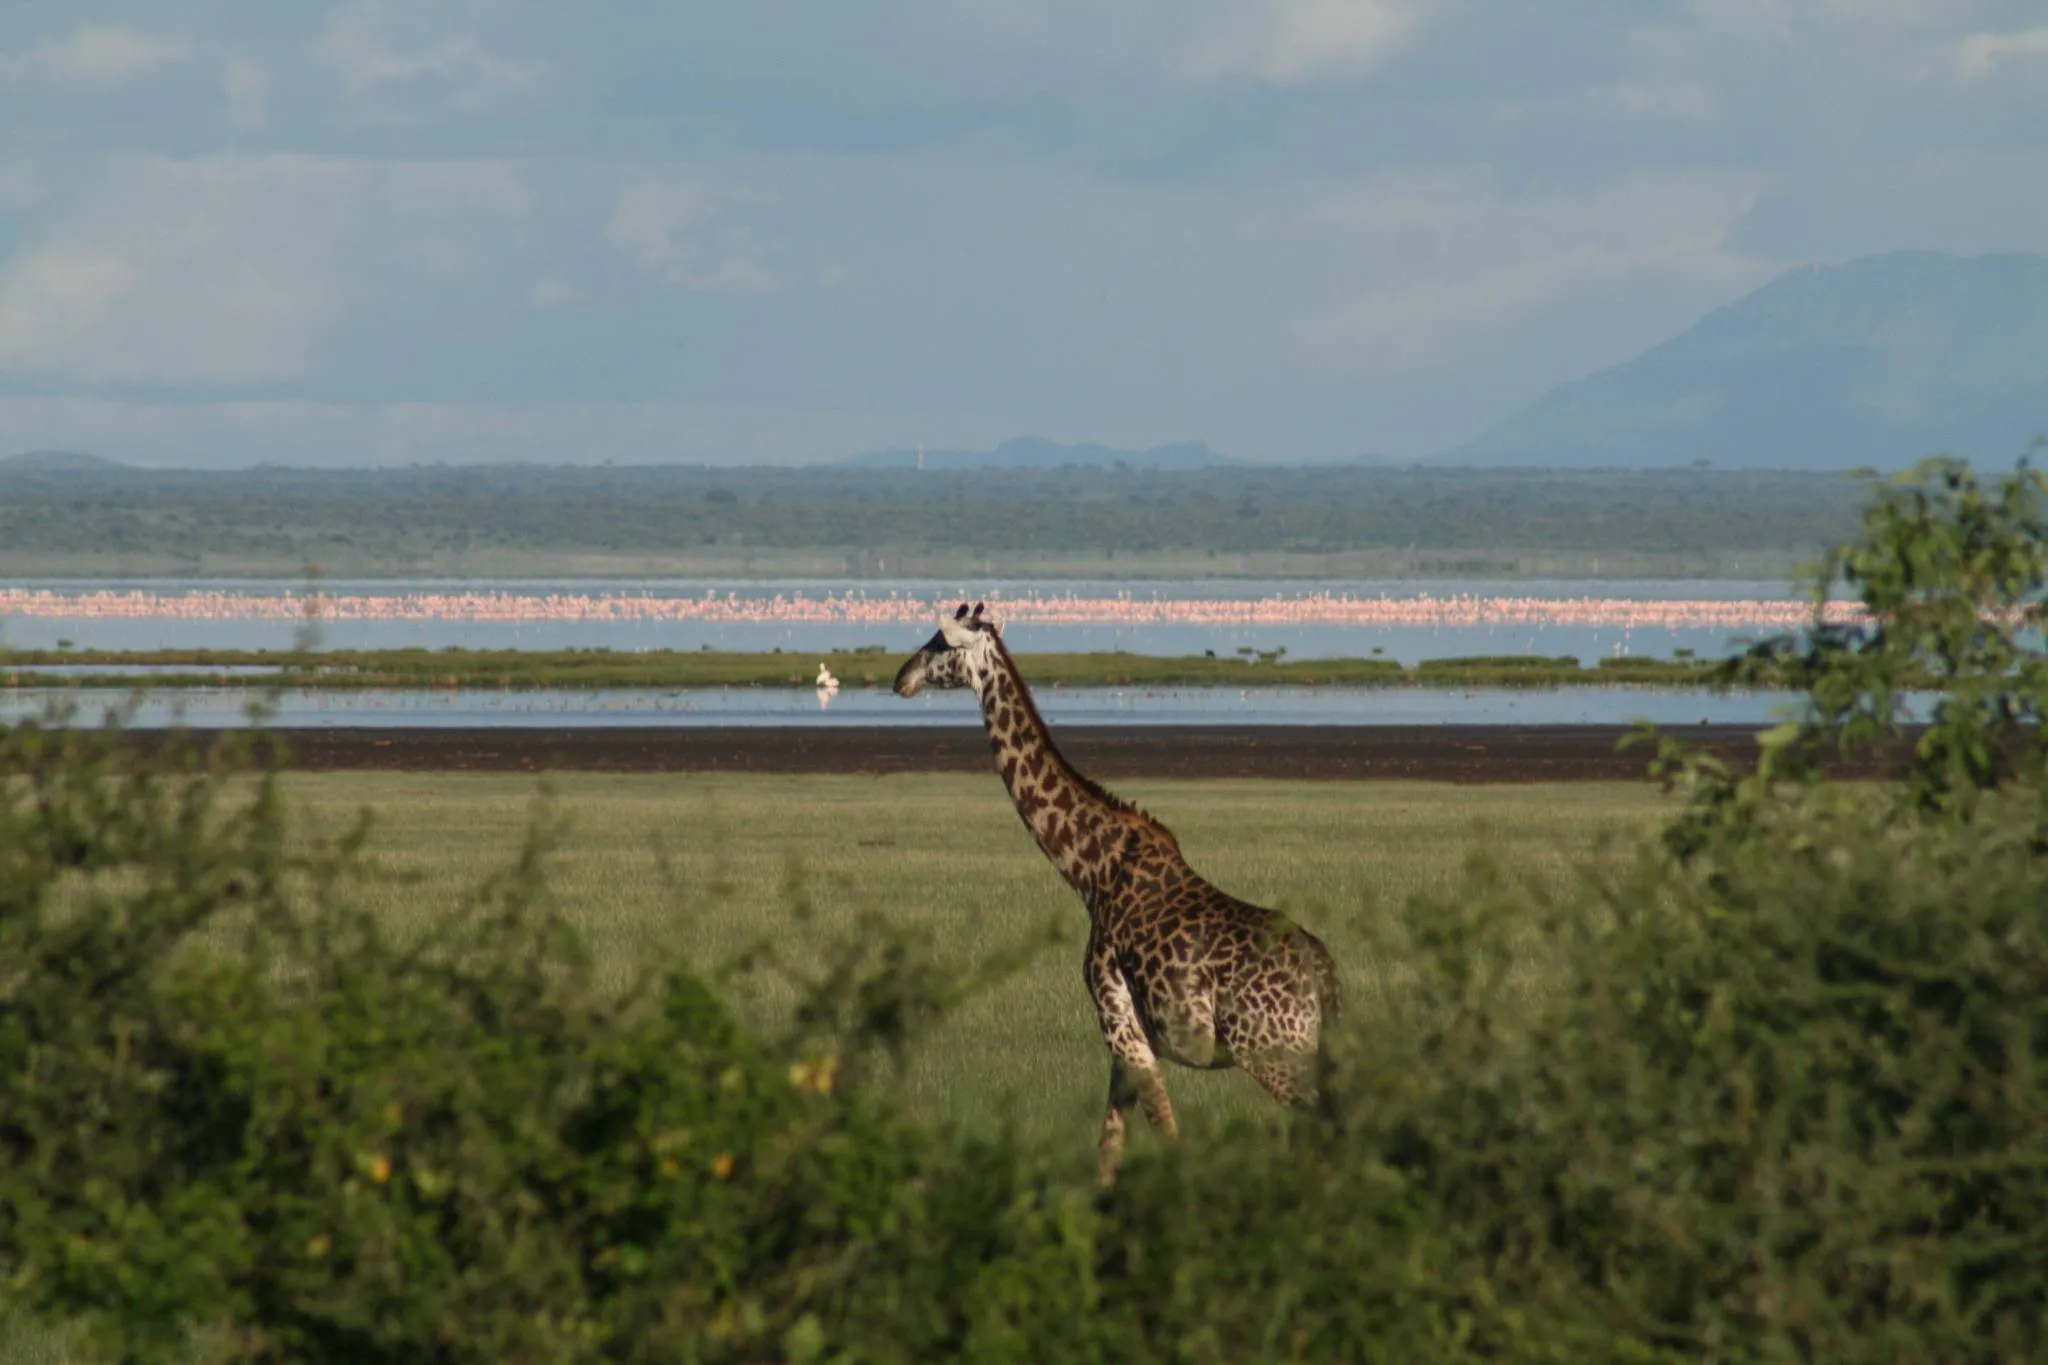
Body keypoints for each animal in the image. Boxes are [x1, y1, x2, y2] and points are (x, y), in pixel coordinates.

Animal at [895, 602, 1341, 1183]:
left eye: (939, 644)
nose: (900, 678)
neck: (1089, 870)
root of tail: (1325, 979)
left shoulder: (1117, 1019)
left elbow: (1167, 1137)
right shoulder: (1128, 1037)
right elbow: (1108, 1148)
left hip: (1274, 1055)